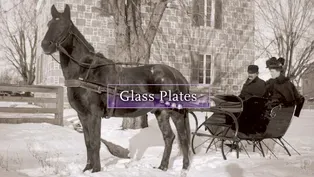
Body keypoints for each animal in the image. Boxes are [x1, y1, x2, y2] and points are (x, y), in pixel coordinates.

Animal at [39, 3, 191, 173]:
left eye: (64, 26)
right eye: (49, 24)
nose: (45, 45)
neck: (85, 72)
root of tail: (176, 74)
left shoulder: (94, 114)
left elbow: (95, 142)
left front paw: (96, 170)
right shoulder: (82, 115)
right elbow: (87, 142)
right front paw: (87, 168)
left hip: (176, 113)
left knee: (183, 137)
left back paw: (184, 167)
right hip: (161, 113)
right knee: (169, 137)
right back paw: (162, 167)